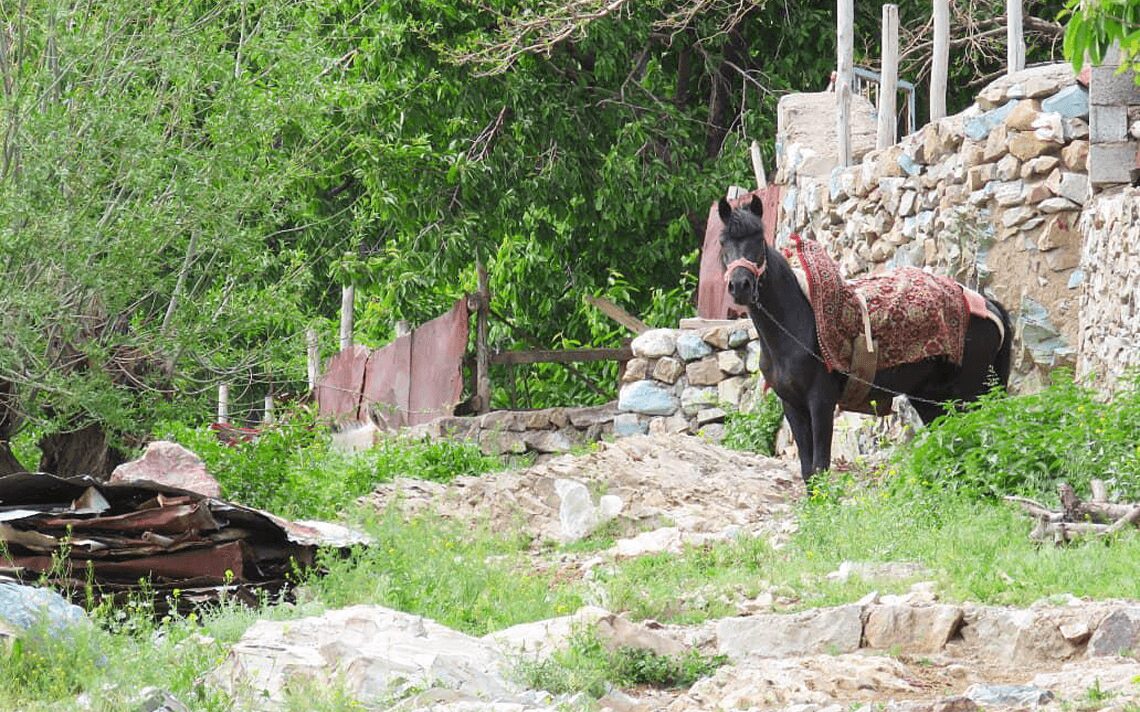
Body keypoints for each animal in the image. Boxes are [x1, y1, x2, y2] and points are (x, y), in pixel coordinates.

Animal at [715, 194, 1012, 483]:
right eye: (723, 242)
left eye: (758, 239)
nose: (740, 285)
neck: (795, 327)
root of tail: (988, 305)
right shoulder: (792, 406)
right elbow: (807, 471)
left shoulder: (821, 402)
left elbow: (820, 468)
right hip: (932, 397)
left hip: (972, 392)